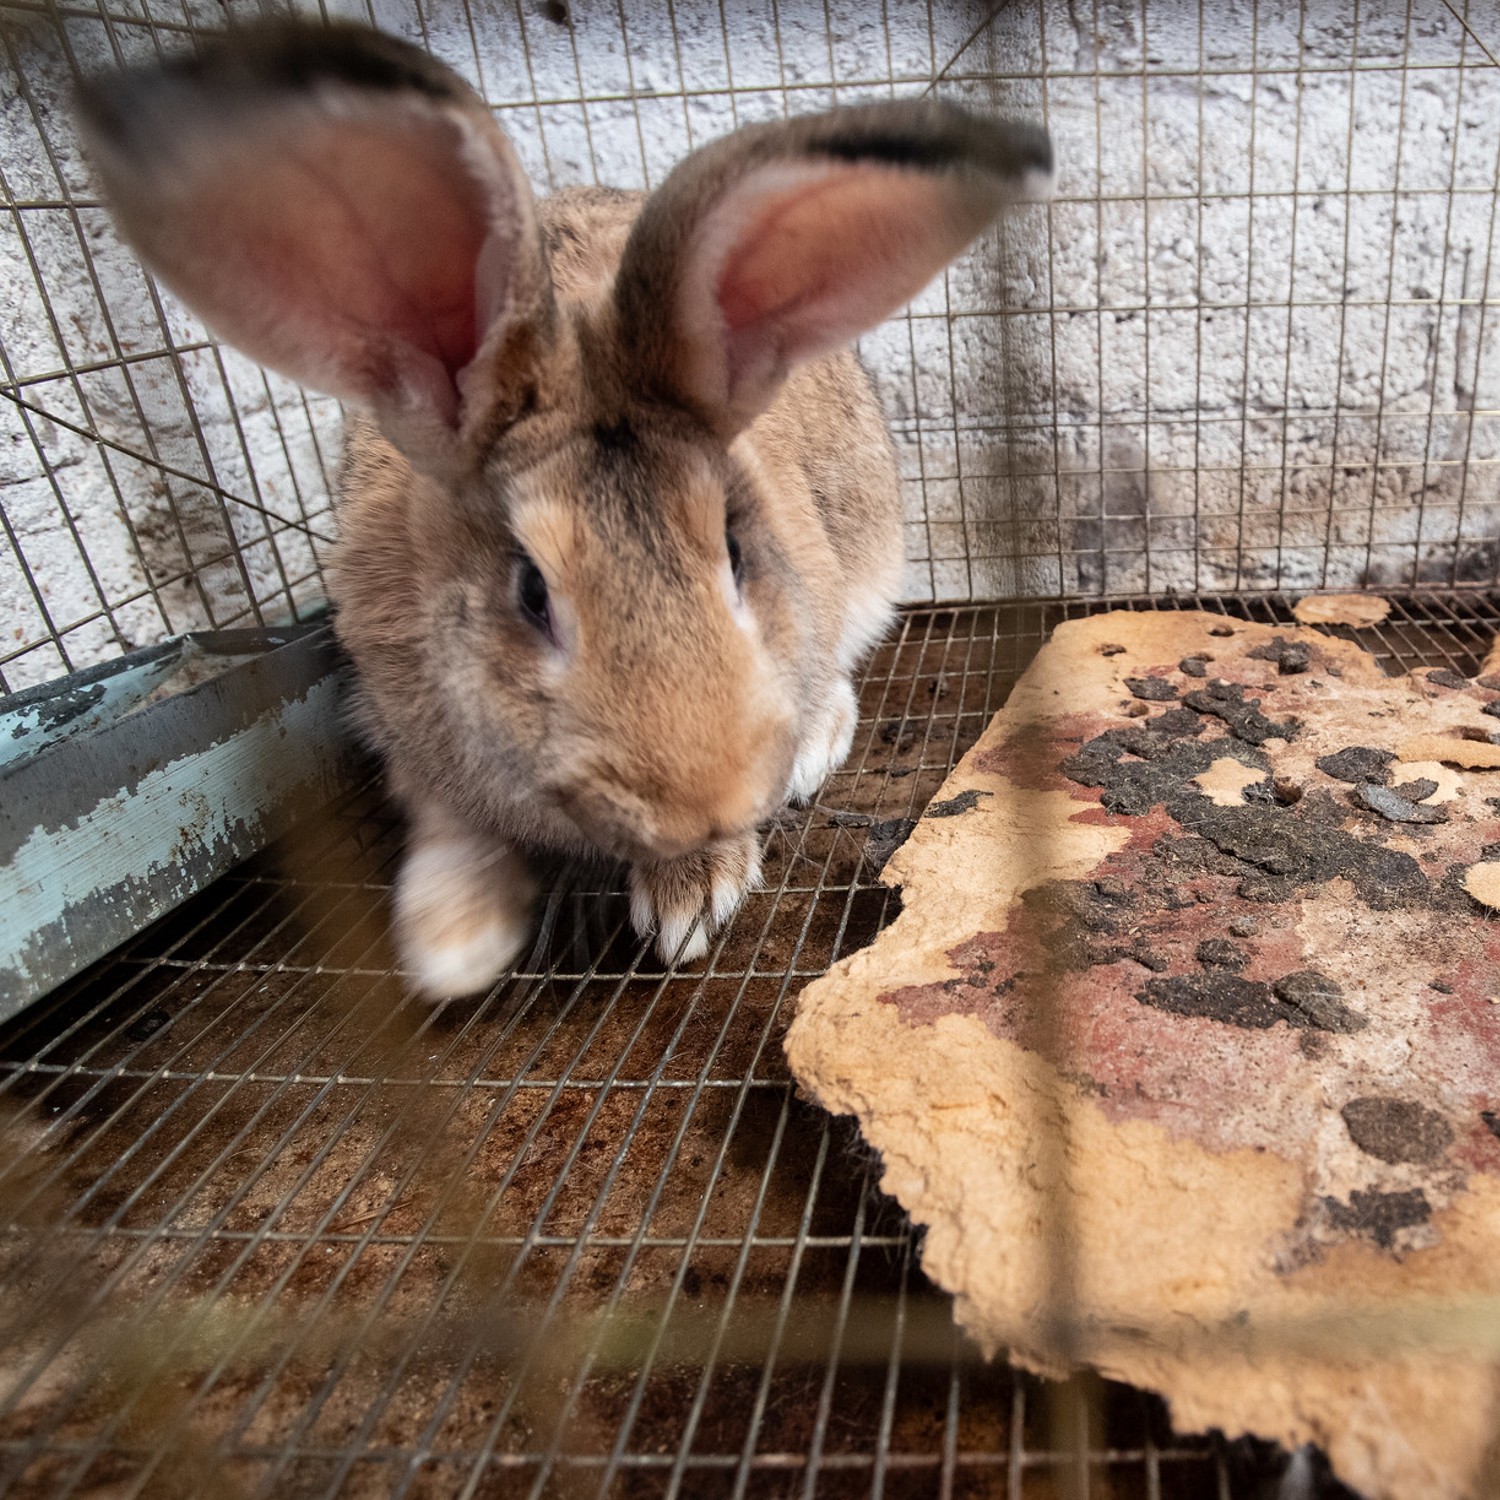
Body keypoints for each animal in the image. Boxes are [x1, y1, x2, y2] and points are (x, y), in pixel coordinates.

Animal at [76, 20, 1050, 996]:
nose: (697, 805)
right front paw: (452, 944)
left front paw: (692, 895)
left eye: (736, 553)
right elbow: (445, 825)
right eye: (531, 592)